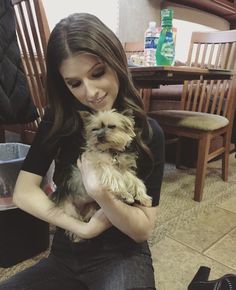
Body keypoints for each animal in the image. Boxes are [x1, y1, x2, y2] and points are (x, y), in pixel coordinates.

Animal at [52, 110, 151, 241]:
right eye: (95, 129)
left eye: (112, 126)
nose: (99, 136)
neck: (111, 151)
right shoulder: (102, 164)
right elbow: (115, 178)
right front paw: (125, 194)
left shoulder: (123, 169)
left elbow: (136, 181)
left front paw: (143, 197)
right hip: (69, 209)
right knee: (73, 223)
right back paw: (78, 236)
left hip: (91, 206)